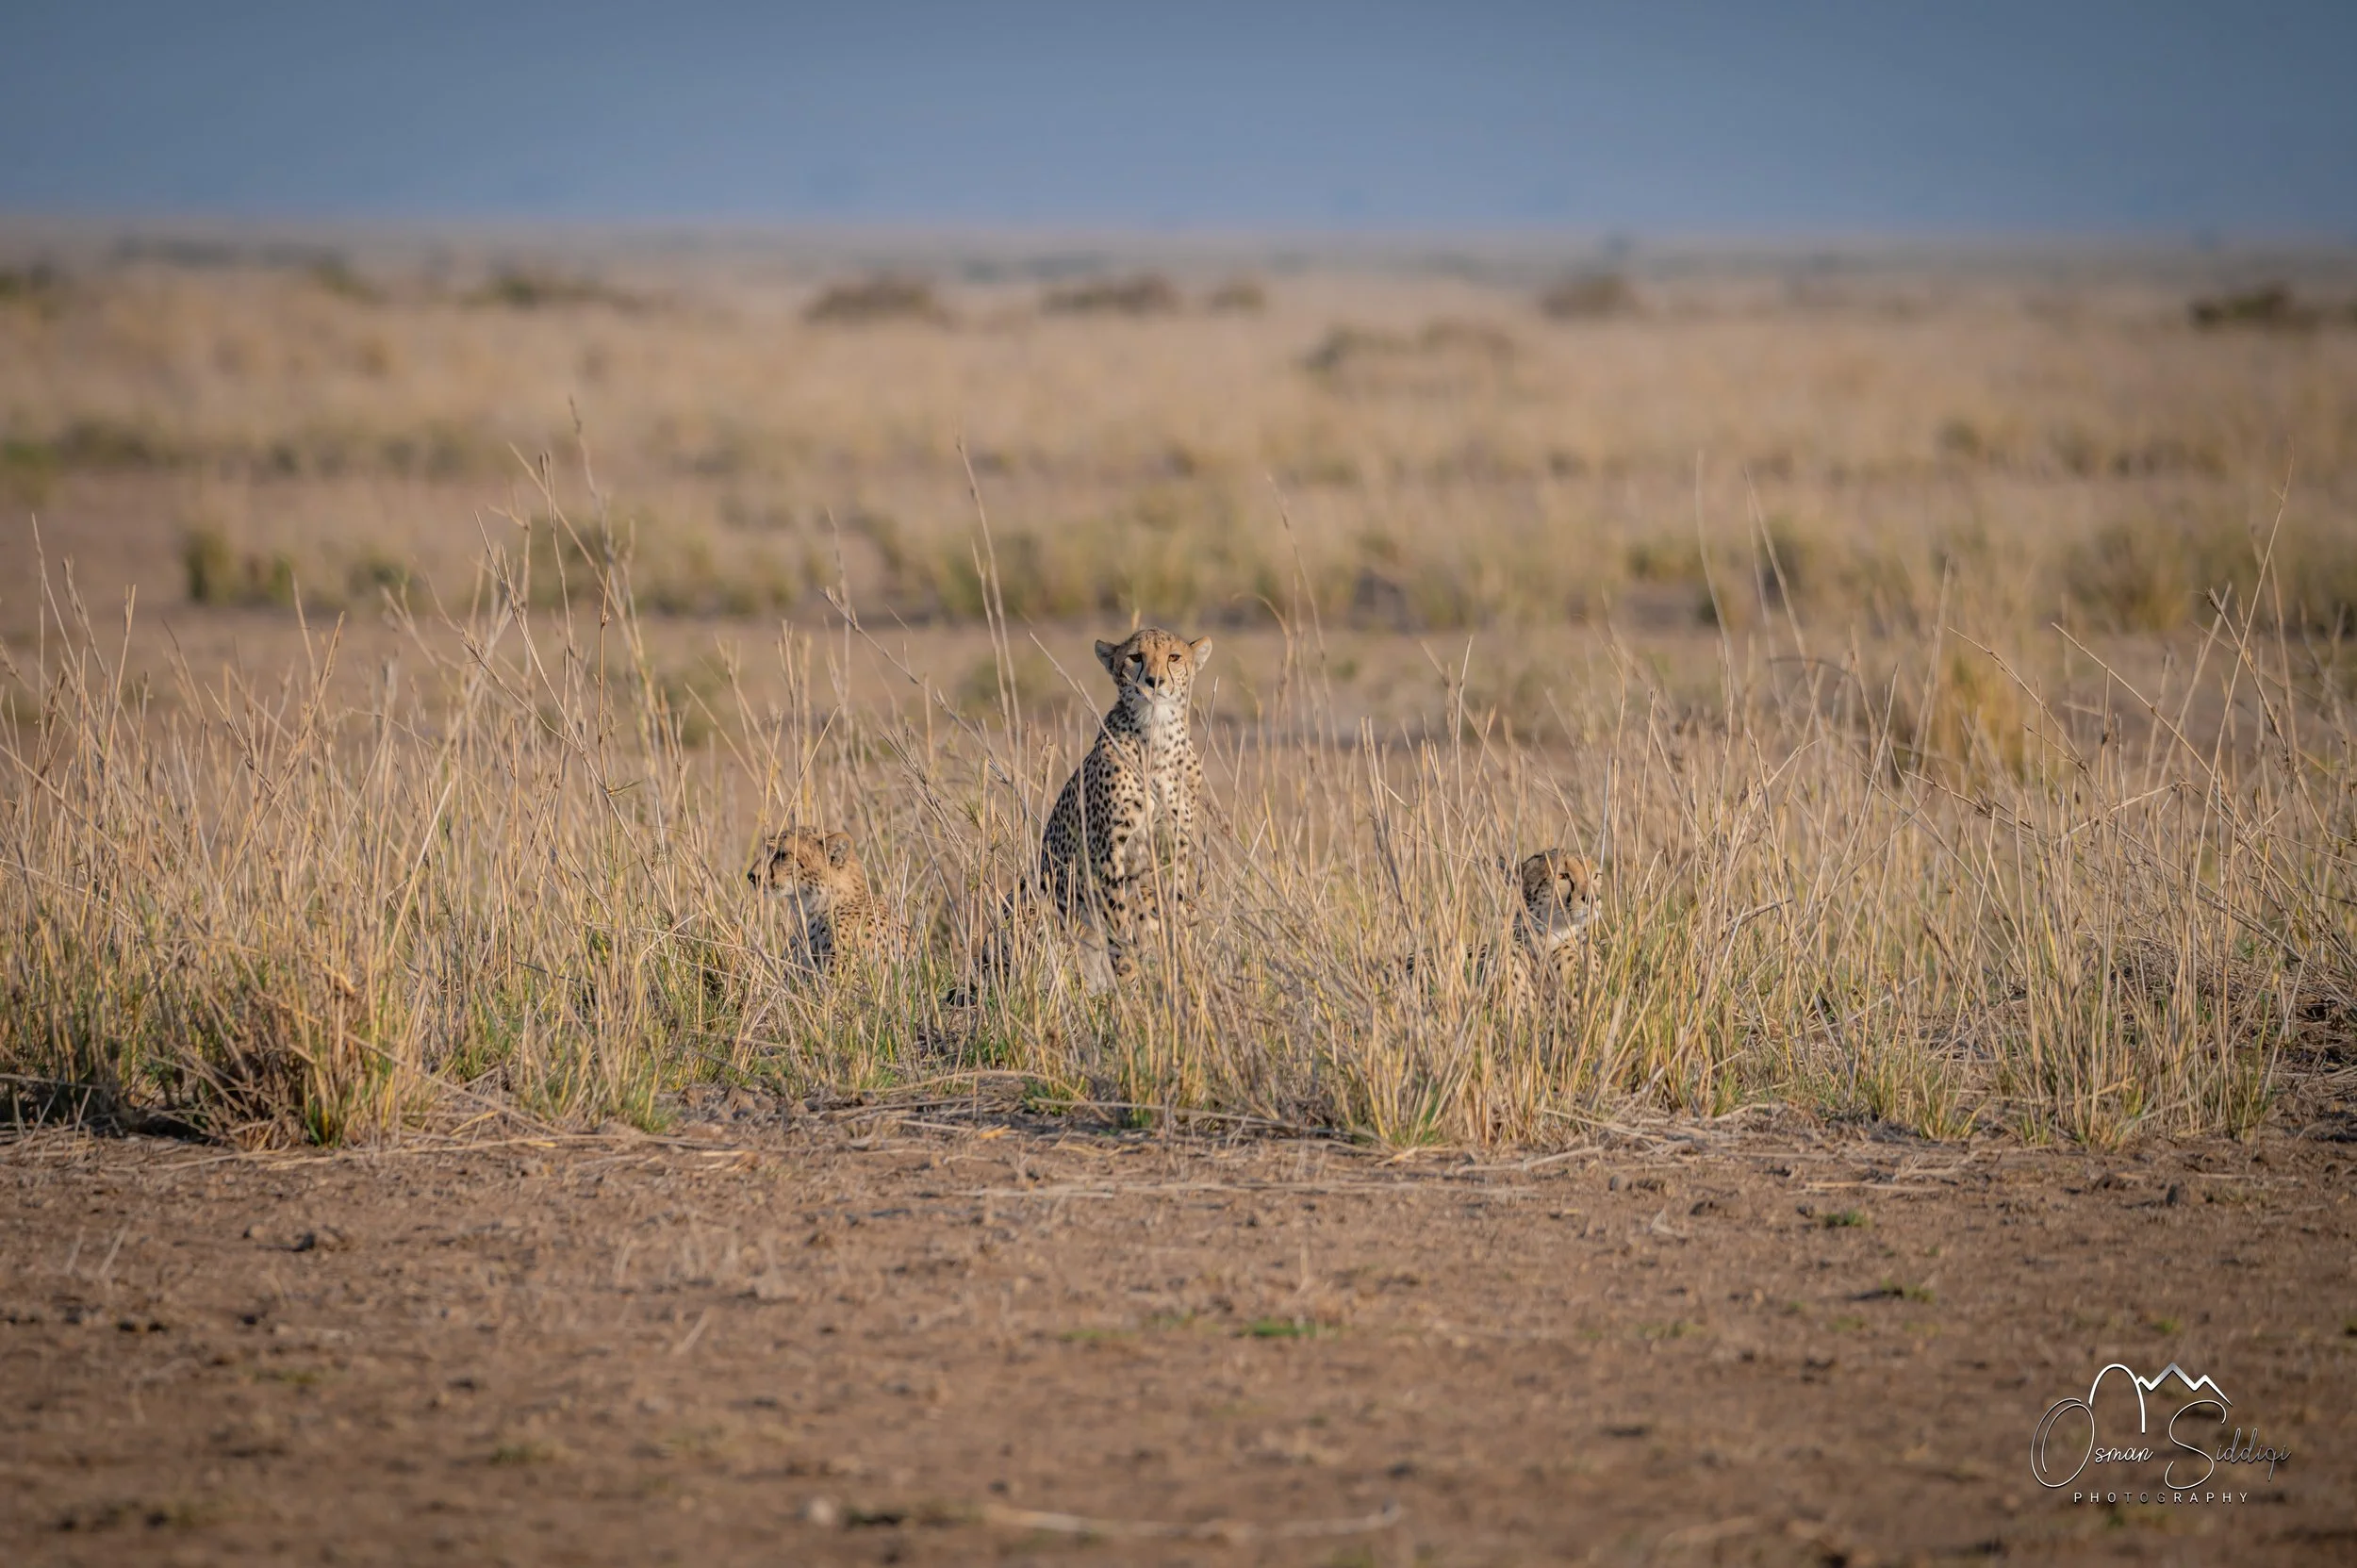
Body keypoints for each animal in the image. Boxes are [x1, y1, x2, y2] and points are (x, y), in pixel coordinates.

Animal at [1037, 627, 1213, 988]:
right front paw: (1130, 977)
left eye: (1174, 657)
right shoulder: (1108, 850)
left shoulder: (1173, 843)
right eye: (1135, 657)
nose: (1155, 681)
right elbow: (1118, 922)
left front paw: (1181, 967)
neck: (1157, 736)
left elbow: (1173, 907)